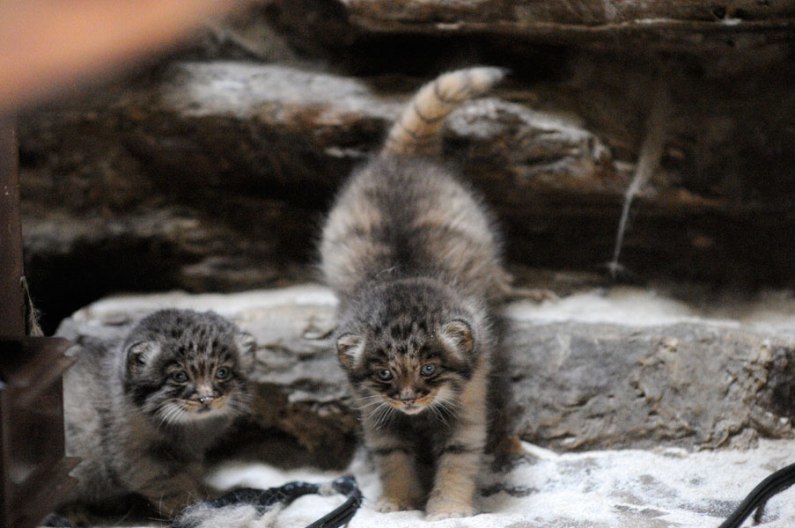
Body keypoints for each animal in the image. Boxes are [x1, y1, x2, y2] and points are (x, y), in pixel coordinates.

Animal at [58, 310, 255, 520]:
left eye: (222, 372)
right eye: (180, 376)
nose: (206, 399)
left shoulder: (190, 454)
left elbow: (191, 474)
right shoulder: (133, 456)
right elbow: (168, 485)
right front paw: (191, 507)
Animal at [318, 67, 510, 520]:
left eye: (429, 368)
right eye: (385, 374)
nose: (408, 399)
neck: (402, 279)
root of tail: (402, 157)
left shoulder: (468, 403)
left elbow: (458, 457)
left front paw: (448, 509)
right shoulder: (376, 412)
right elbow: (393, 456)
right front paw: (398, 501)